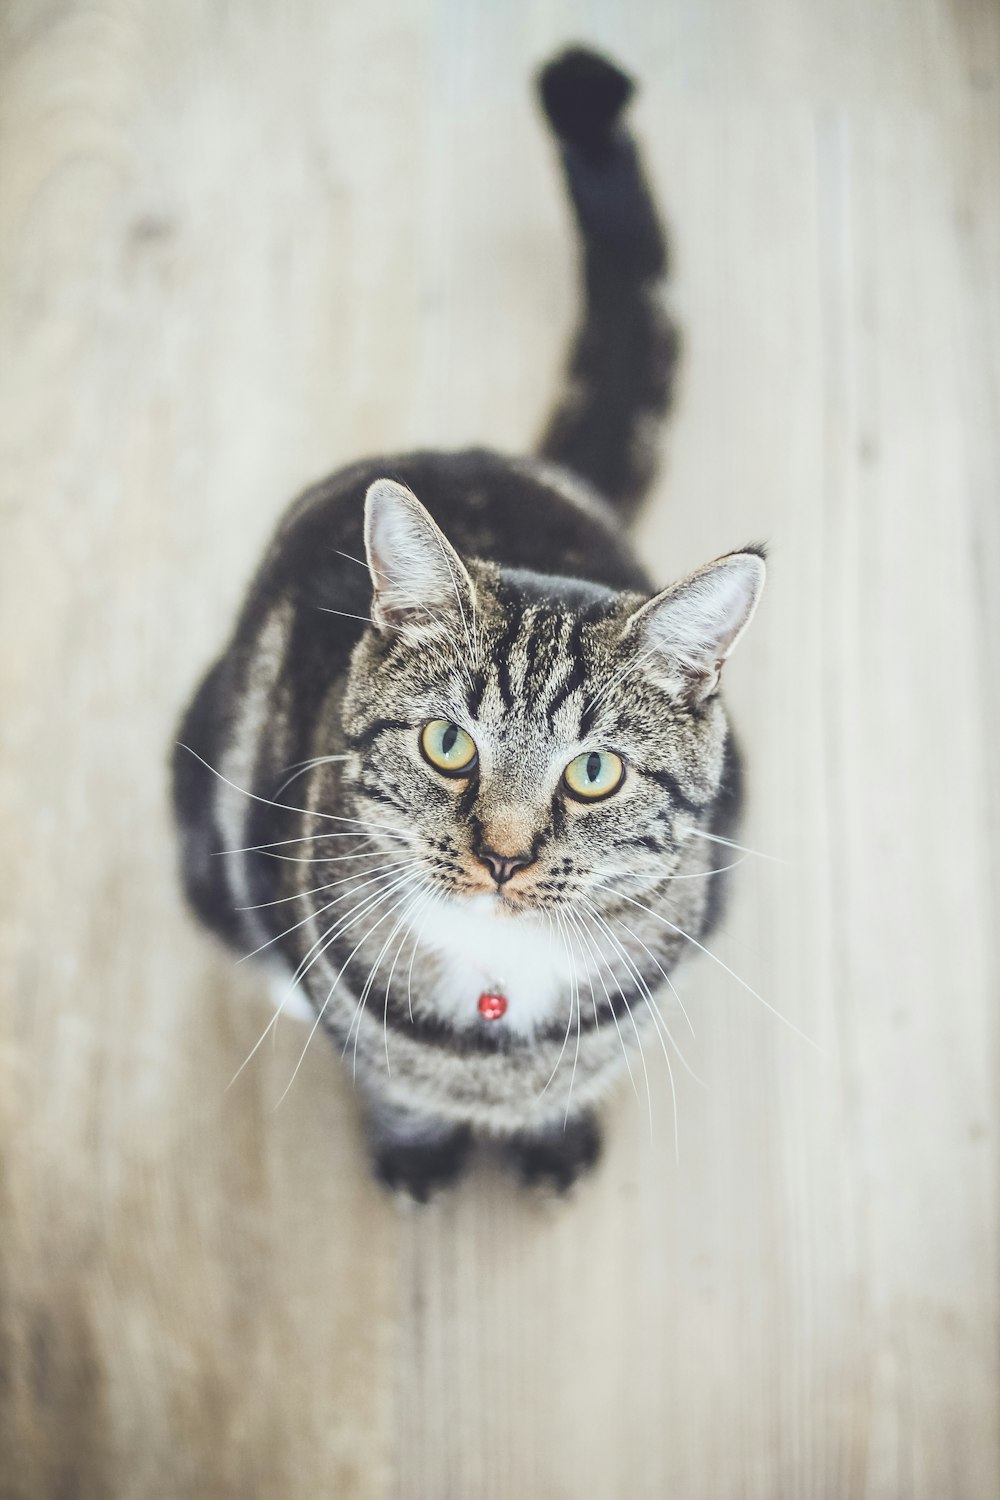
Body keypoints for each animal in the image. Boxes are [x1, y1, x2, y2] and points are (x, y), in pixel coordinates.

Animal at [172, 46, 767, 1194]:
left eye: (595, 772)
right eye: (448, 744)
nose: (502, 857)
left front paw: (554, 1135)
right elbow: (386, 1073)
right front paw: (415, 1150)